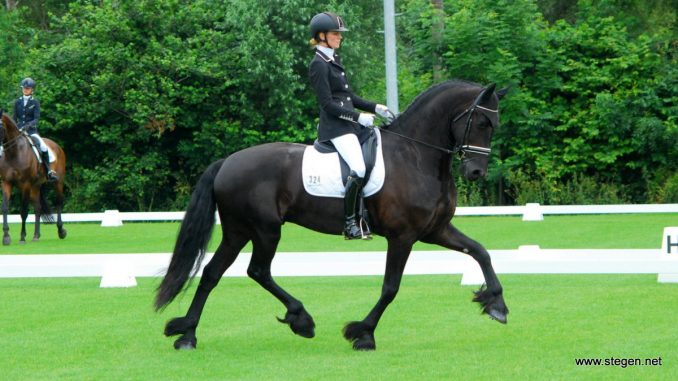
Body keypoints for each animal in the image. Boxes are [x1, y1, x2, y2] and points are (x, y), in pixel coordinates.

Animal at [0, 112, 67, 243]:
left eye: (0, 126)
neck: (14, 152)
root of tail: (56, 146)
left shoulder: (25, 184)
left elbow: (24, 211)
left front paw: (22, 237)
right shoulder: (6, 182)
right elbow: (5, 207)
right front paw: (6, 236)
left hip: (58, 182)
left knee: (59, 203)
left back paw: (61, 231)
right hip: (35, 186)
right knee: (38, 208)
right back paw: (36, 235)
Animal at [158, 80, 510, 350]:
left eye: (494, 125)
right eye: (481, 122)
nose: (476, 172)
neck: (416, 155)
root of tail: (227, 162)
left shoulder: (435, 230)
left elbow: (481, 251)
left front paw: (496, 304)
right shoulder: (403, 236)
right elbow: (390, 287)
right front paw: (363, 334)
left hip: (238, 231)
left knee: (212, 273)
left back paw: (187, 334)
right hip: (264, 229)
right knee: (257, 270)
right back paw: (300, 319)